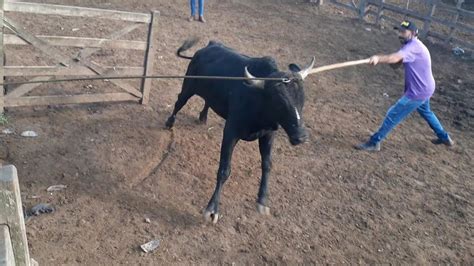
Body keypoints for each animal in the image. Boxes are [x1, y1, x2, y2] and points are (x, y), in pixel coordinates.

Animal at [165, 39, 316, 222]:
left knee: (207, 100)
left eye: (302, 98)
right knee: (179, 102)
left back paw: (203, 117)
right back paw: (169, 122)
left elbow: (267, 165)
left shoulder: (268, 134)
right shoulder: (231, 131)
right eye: (279, 101)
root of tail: (209, 46)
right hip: (188, 86)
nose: (301, 136)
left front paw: (262, 201)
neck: (258, 100)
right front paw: (212, 210)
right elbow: (224, 170)